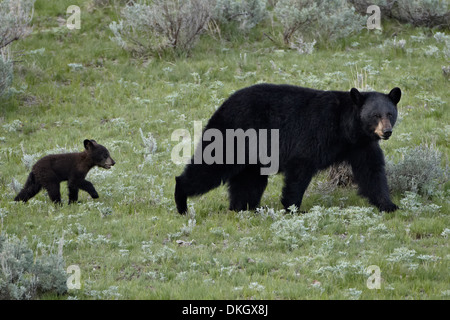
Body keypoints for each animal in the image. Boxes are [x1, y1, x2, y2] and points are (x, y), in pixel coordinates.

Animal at [175, 84, 400, 215]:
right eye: (375, 115)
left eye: (390, 113)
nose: (387, 131)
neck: (346, 128)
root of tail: (223, 104)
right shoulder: (316, 133)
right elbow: (300, 170)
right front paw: (292, 208)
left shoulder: (362, 145)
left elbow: (371, 172)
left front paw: (389, 205)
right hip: (233, 134)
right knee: (210, 166)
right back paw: (182, 203)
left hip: (251, 155)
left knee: (248, 181)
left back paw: (243, 207)